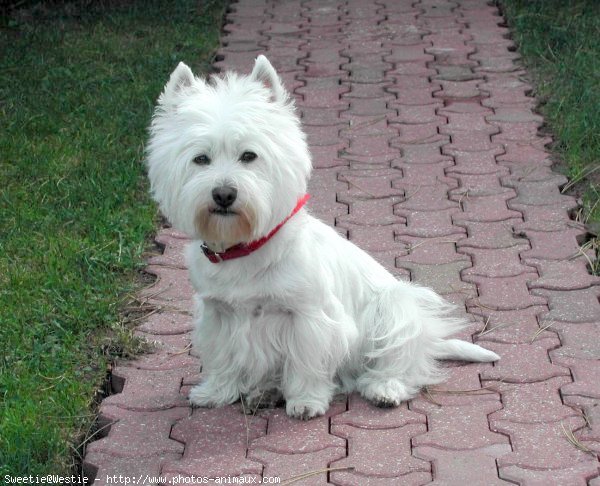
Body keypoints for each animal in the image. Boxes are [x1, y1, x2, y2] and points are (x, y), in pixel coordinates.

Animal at [145, 56, 496, 418]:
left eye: (249, 156)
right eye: (201, 159)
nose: (224, 194)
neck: (247, 248)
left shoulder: (310, 317)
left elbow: (306, 362)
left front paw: (306, 401)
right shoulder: (217, 313)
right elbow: (221, 358)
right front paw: (215, 392)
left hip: (394, 310)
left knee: (399, 362)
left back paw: (384, 388)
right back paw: (264, 392)